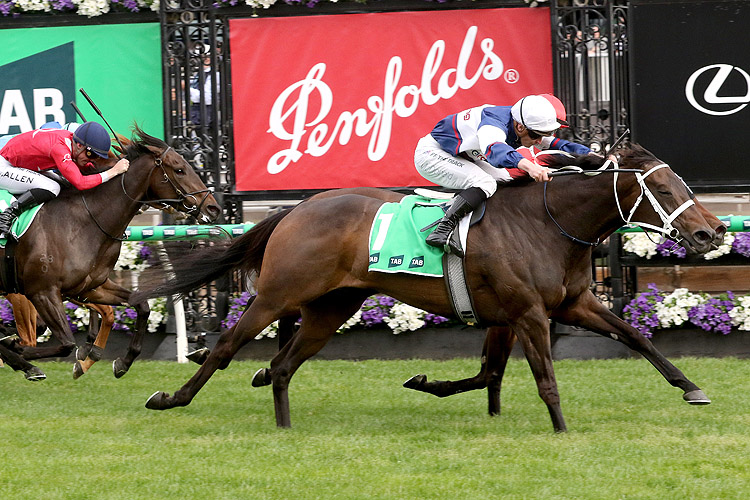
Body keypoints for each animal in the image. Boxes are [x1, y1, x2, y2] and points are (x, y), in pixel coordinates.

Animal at [0, 127, 222, 380]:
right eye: (179, 170)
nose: (213, 208)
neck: (85, 221)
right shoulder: (42, 292)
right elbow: (65, 343)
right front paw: (17, 349)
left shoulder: (89, 287)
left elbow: (141, 305)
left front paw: (122, 362)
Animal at [140, 143, 724, 432]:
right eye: (664, 188)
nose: (712, 232)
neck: (548, 222)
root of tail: (297, 208)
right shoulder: (529, 314)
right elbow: (544, 379)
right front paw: (562, 429)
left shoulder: (565, 306)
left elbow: (635, 338)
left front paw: (691, 387)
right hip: (276, 295)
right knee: (225, 347)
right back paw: (170, 398)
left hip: (330, 308)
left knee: (283, 365)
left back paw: (283, 423)